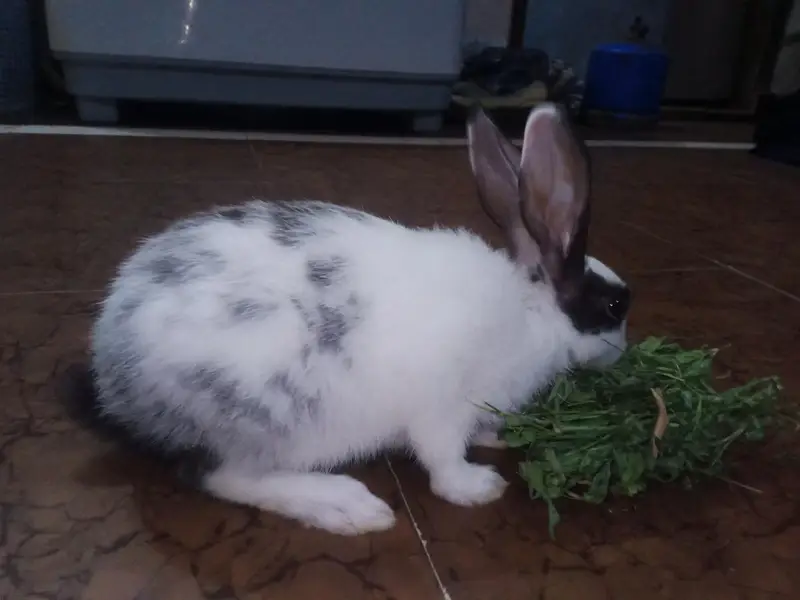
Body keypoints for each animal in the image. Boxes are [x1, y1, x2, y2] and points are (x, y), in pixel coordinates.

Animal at [65, 103, 631, 536]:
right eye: (614, 307)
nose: (624, 352)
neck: (532, 317)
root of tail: (116, 383)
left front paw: (496, 437)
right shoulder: (442, 407)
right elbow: (443, 459)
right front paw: (478, 487)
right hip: (270, 418)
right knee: (222, 476)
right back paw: (344, 505)